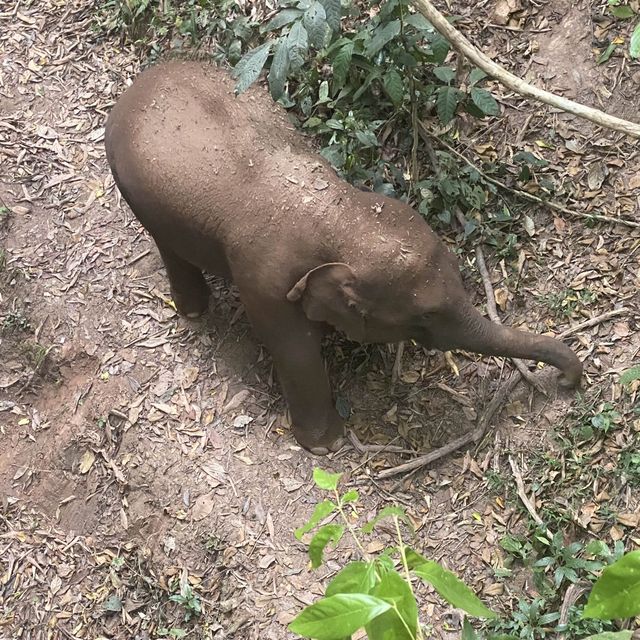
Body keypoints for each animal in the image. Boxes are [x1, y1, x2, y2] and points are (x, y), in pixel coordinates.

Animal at [106, 61, 584, 456]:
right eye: (425, 317)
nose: (565, 383)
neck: (338, 212)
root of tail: (136, 85)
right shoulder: (263, 280)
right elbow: (294, 348)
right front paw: (326, 446)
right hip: (136, 194)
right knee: (170, 248)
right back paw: (193, 311)